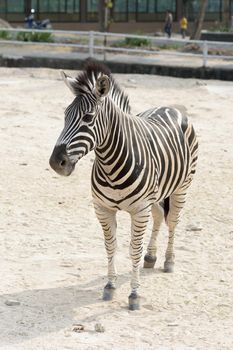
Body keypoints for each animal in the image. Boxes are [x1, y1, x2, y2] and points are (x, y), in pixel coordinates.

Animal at [49, 61, 198, 310]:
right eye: (65, 115)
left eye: (88, 118)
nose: (55, 163)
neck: (111, 164)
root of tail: (169, 107)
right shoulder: (103, 209)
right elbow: (111, 246)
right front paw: (110, 286)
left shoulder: (139, 210)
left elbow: (133, 250)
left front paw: (134, 294)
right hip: (157, 194)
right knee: (159, 215)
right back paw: (151, 257)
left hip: (181, 188)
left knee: (173, 221)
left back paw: (168, 260)